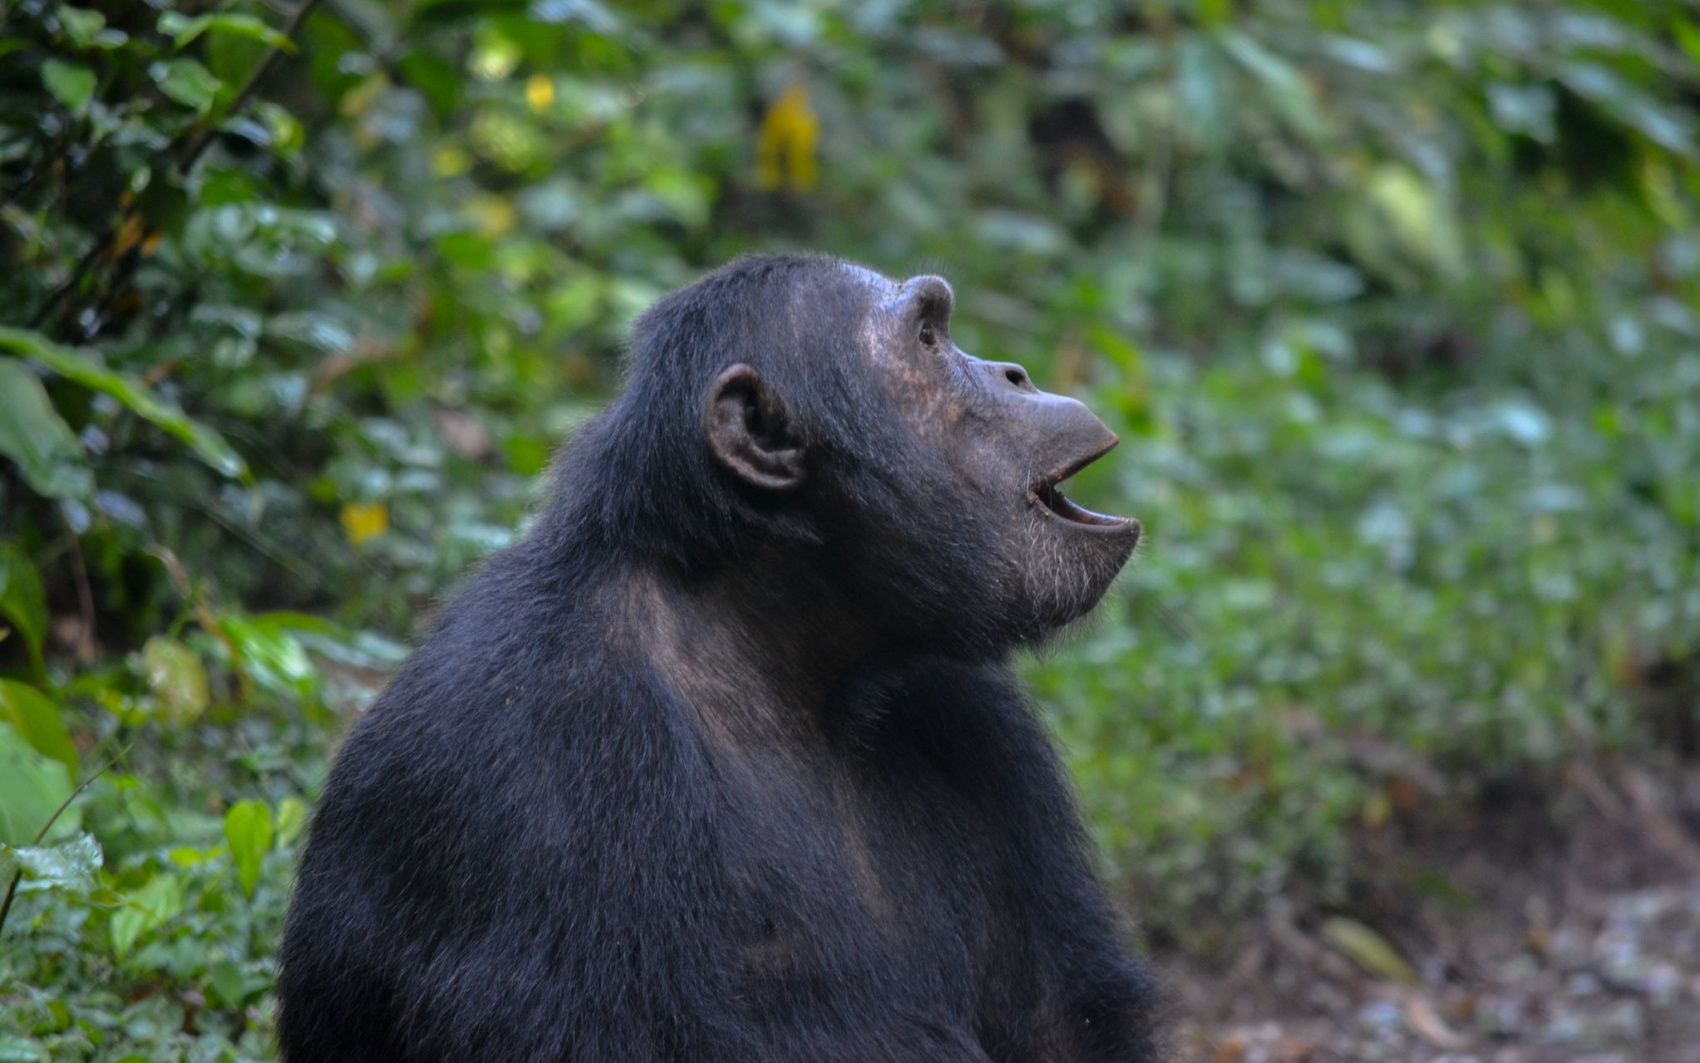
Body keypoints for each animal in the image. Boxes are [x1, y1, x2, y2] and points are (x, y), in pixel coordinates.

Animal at [282, 256, 1156, 1061]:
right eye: (930, 339)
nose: (1013, 371)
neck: (770, 648)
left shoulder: (977, 717)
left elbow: (1062, 1018)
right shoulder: (533, 750)